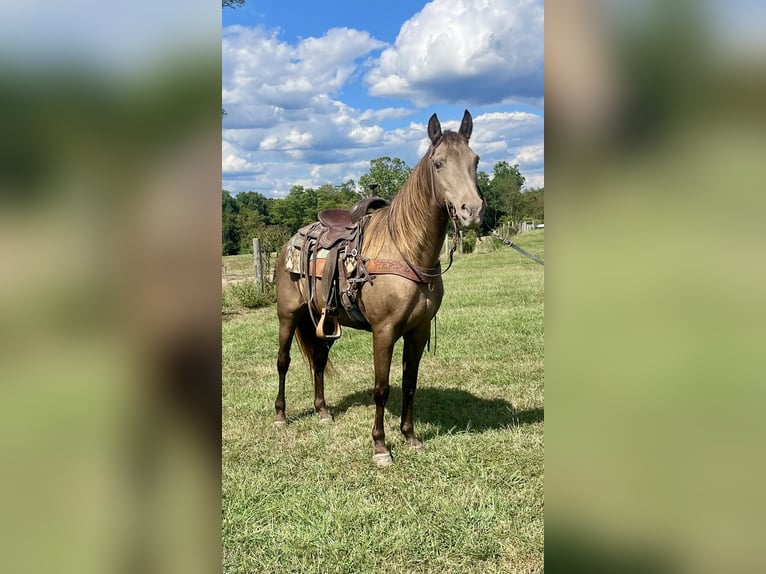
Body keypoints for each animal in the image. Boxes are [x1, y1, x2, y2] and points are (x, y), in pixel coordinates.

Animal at [274, 110, 484, 466]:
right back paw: (280, 414)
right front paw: (381, 447)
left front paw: (411, 437)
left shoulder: (418, 331)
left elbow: (410, 383)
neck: (405, 250)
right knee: (283, 361)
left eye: (476, 161)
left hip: (325, 322)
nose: (472, 210)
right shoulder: (384, 331)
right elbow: (381, 388)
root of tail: (292, 240)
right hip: (288, 316)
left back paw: (323, 411)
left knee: (318, 360)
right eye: (438, 163)